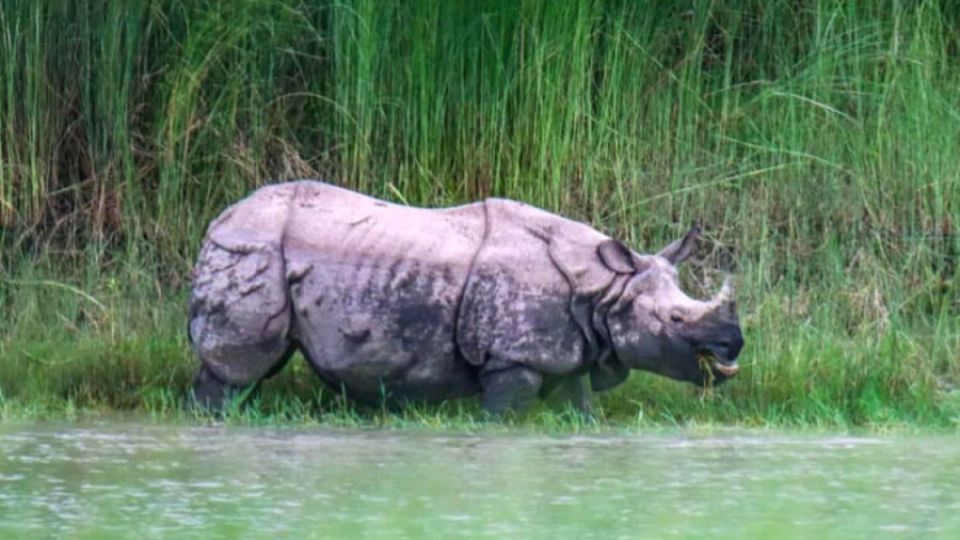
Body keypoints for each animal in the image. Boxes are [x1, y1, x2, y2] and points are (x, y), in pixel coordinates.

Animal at [188, 180, 743, 414]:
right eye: (675, 319)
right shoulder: (513, 358)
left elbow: (578, 409)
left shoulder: (566, 351)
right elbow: (503, 416)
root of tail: (219, 218)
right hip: (253, 249)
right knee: (237, 369)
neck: (605, 289)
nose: (733, 344)